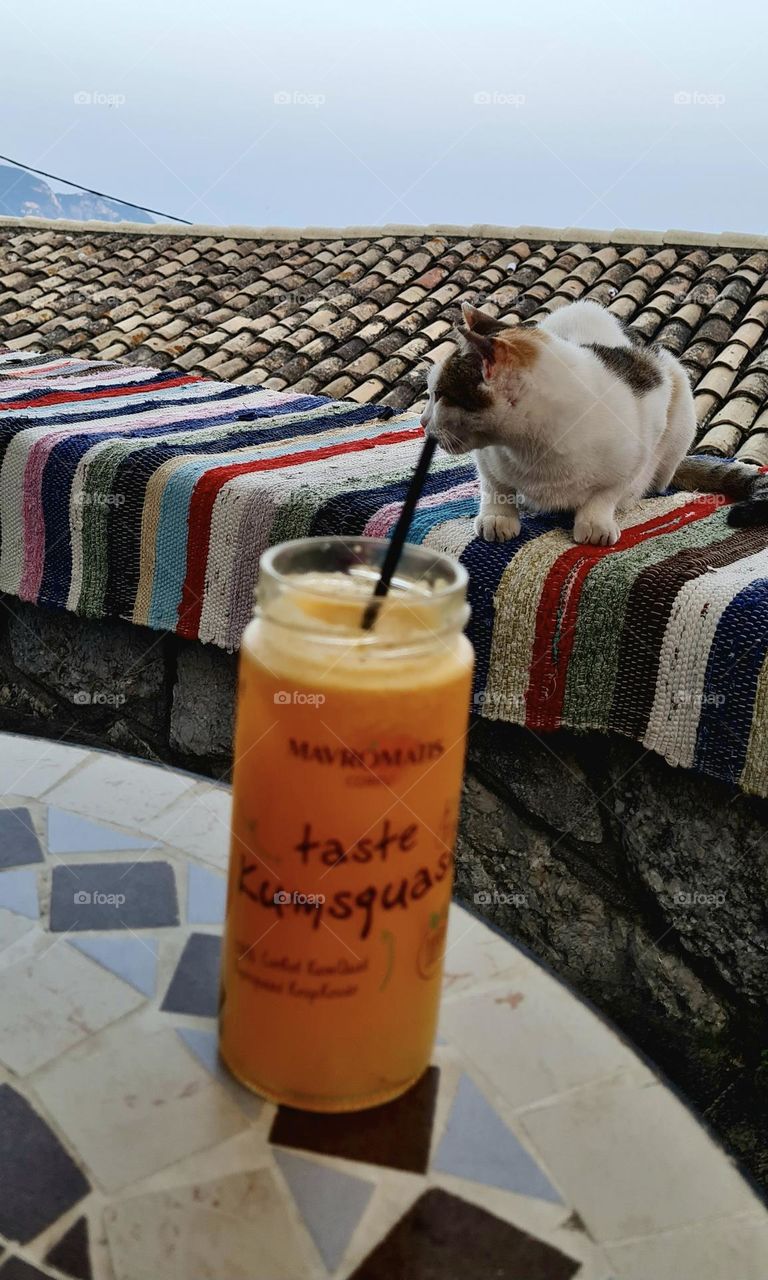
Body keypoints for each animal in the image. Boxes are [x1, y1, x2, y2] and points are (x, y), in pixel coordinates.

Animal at [419, 299, 768, 545]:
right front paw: (498, 517)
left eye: (440, 395)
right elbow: (494, 485)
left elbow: (607, 493)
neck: (534, 445)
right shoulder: (487, 456)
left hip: (679, 399)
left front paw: (594, 522)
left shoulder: (642, 435)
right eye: (431, 393)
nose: (422, 421)